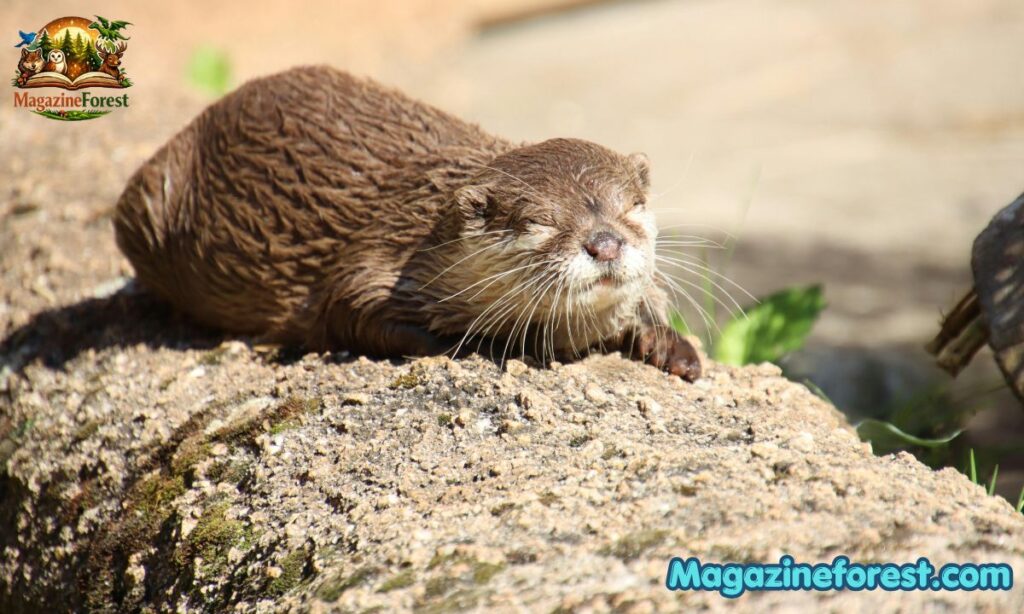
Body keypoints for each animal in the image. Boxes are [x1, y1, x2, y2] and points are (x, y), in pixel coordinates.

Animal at [114, 66, 702, 380]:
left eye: (631, 207)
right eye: (541, 221)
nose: (605, 243)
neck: (420, 232)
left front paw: (669, 344)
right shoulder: (372, 264)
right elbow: (352, 311)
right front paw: (496, 345)